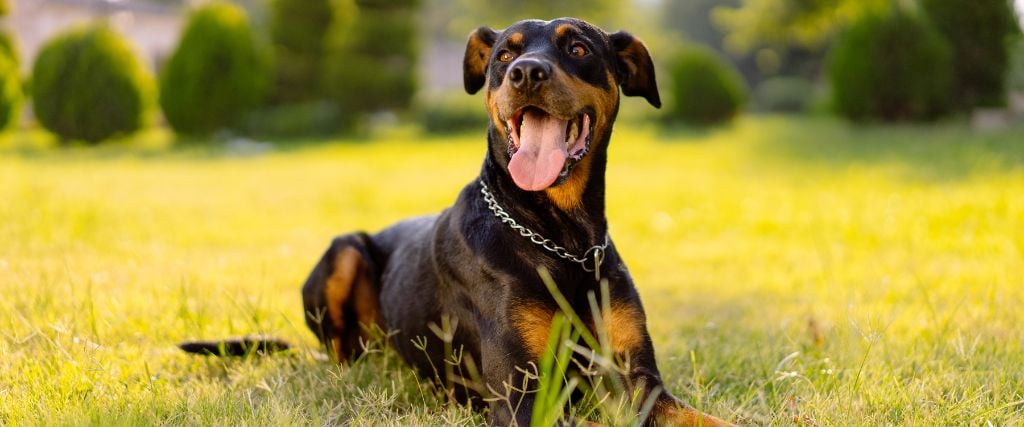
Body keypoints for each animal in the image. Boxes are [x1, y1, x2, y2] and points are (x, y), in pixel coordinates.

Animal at [182, 17, 737, 425]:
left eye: (578, 48)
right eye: (505, 56)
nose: (526, 73)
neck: (562, 238)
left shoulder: (637, 380)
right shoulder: (522, 393)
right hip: (345, 250)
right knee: (343, 356)